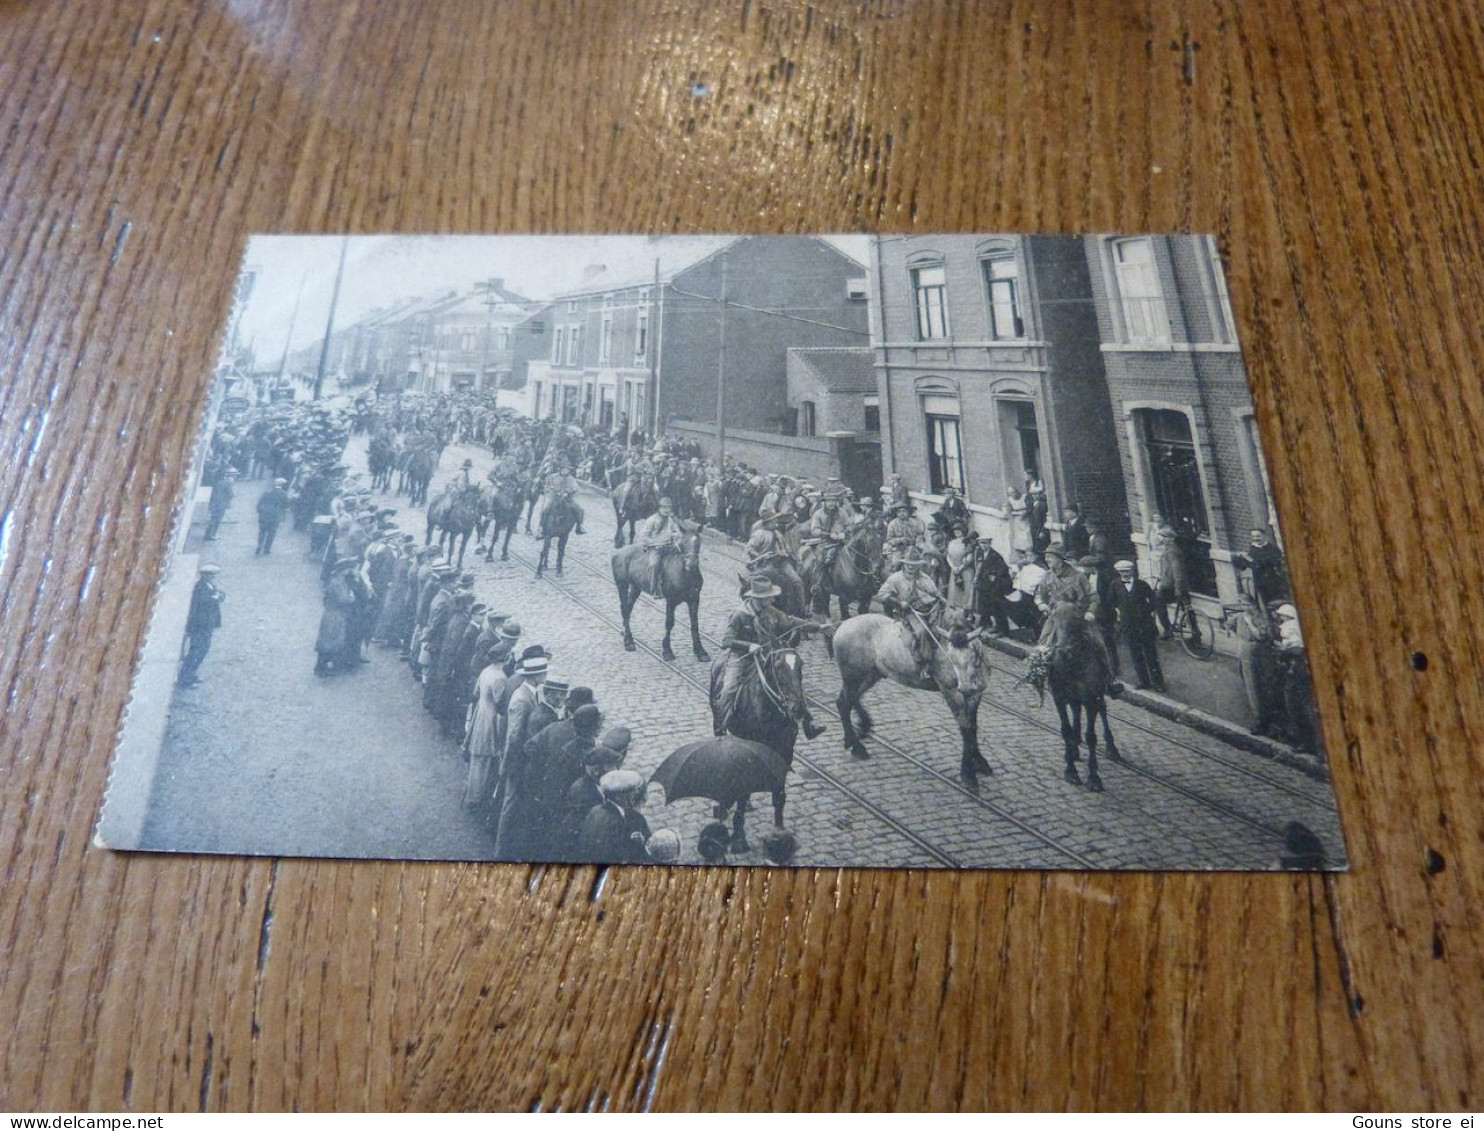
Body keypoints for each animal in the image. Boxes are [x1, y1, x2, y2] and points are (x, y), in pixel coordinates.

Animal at [611, 525, 709, 661]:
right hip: (622, 585)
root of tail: (618, 553)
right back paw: (628, 641)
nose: (692, 564)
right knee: (625, 609)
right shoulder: (671, 601)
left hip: (635, 587)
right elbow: (669, 623)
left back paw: (625, 632)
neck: (684, 574)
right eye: (683, 543)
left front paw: (700, 651)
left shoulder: (694, 599)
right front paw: (667, 650)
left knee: (628, 608)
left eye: (698, 542)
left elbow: (695, 624)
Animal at [706, 638, 813, 843]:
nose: (798, 708)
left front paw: (779, 830)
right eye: (778, 666)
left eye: (801, 665)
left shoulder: (785, 751)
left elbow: (779, 793)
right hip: (719, 726)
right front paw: (739, 833)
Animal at [825, 608, 997, 783]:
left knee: (848, 699)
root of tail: (842, 625)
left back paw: (859, 731)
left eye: (973, 655)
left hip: (872, 674)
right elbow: (965, 729)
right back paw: (857, 746)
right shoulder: (951, 692)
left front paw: (980, 763)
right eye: (950, 657)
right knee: (844, 703)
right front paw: (968, 774)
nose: (965, 687)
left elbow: (973, 727)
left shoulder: (975, 696)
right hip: (853, 676)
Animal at [1038, 602, 1115, 789]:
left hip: (1098, 691)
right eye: (1053, 620)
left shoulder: (1091, 699)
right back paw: (1074, 747)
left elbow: (1091, 737)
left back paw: (1111, 747)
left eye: (1076, 620)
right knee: (1076, 710)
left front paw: (1094, 778)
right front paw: (1071, 771)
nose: (1064, 651)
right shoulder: (1059, 698)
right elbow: (1065, 731)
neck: (1073, 663)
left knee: (1102, 709)